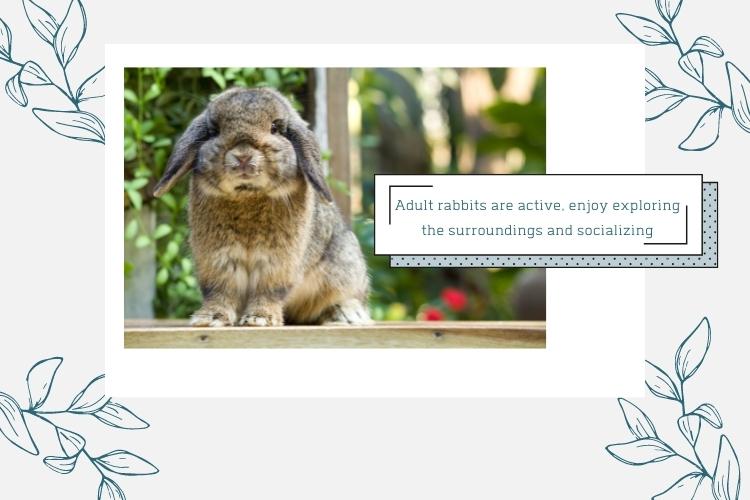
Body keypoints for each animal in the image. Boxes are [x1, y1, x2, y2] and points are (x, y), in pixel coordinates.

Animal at [153, 86, 374, 328]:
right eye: (214, 131)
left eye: (275, 128)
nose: (243, 156)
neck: (248, 195)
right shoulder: (218, 260)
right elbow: (220, 290)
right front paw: (209, 319)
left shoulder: (278, 263)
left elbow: (269, 291)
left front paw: (259, 319)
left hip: (346, 266)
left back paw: (346, 314)